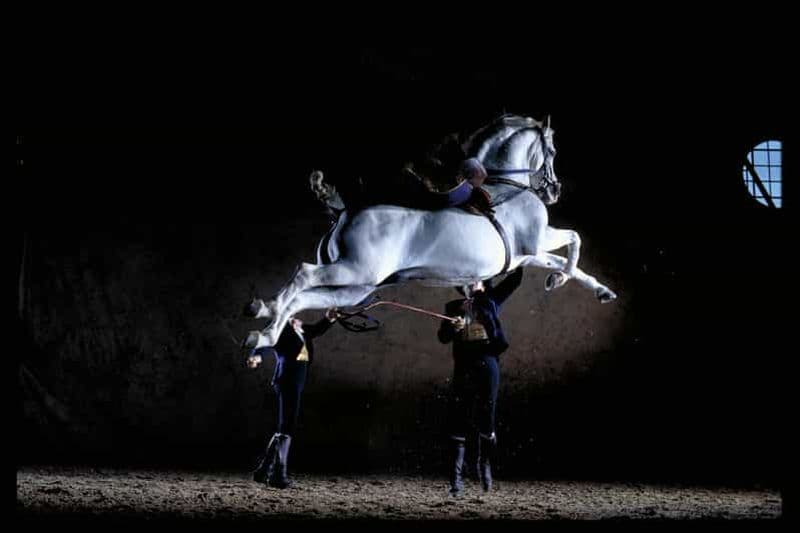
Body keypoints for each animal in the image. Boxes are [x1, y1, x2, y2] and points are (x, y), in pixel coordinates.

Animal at [242, 114, 617, 351]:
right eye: (552, 150)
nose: (554, 191)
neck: (506, 186)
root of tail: (343, 211)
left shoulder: (525, 255)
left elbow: (566, 260)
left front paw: (596, 289)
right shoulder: (537, 241)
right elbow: (574, 240)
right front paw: (559, 279)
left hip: (354, 288)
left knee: (304, 298)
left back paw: (263, 329)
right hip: (353, 271)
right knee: (302, 275)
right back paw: (266, 314)